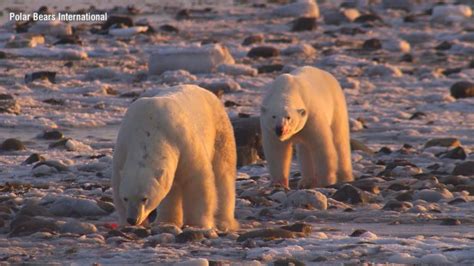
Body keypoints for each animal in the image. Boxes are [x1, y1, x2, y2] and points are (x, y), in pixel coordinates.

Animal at [110, 85, 237, 231]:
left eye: (144, 198)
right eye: (125, 198)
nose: (132, 219)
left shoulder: (182, 140)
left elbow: (196, 179)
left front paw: (197, 224)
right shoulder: (123, 147)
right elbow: (117, 184)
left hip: (220, 129)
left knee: (223, 172)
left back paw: (224, 221)